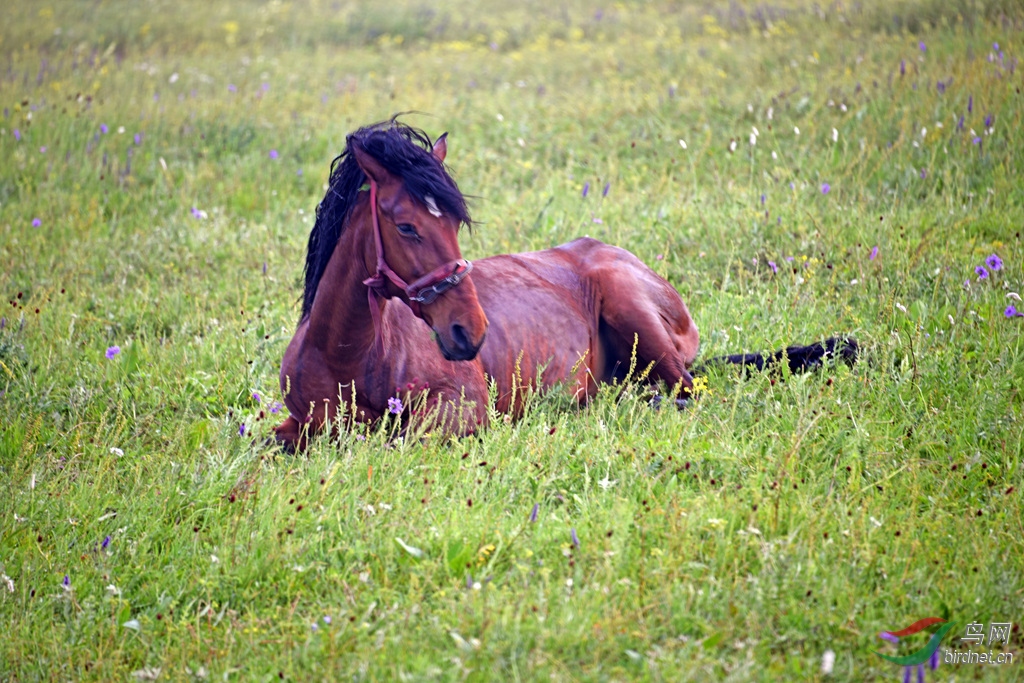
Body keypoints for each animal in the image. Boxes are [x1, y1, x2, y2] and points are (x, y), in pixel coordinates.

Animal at [276, 121, 851, 448]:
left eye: (455, 223)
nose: (470, 332)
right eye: (406, 226)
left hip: (631, 307)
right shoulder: (300, 424)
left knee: (685, 390)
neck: (346, 357)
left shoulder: (460, 410)